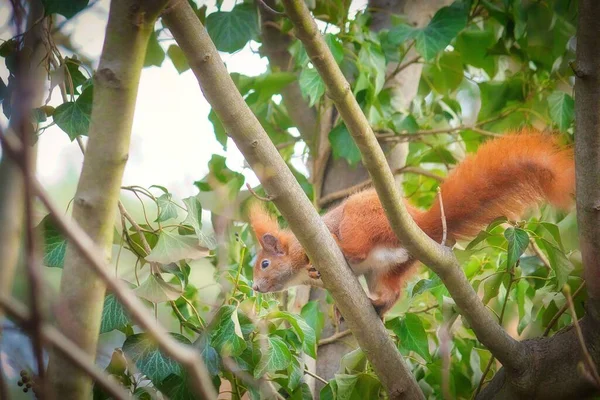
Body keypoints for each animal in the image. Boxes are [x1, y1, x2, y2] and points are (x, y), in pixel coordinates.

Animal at [246, 131, 576, 316]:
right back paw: (377, 306)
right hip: (387, 270)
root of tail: (416, 225)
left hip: (360, 220)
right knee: (392, 292)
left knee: (358, 249)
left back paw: (345, 250)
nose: (255, 287)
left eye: (264, 264)